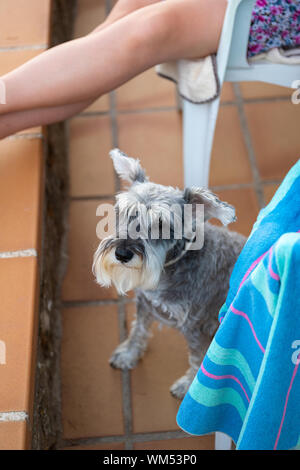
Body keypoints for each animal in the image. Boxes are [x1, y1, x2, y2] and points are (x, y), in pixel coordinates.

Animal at [94, 149, 246, 398]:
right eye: (124, 212)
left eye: (161, 224)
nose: (123, 253)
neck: (170, 268)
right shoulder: (145, 303)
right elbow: (138, 330)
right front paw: (128, 354)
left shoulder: (195, 326)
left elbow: (197, 360)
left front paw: (188, 387)